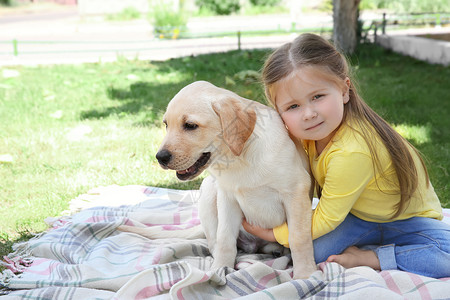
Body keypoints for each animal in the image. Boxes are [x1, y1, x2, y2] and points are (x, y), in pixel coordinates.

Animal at [119, 81, 316, 278]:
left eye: (190, 125)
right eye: (166, 124)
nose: (160, 157)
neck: (238, 158)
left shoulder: (296, 192)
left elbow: (298, 237)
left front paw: (304, 273)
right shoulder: (227, 198)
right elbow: (225, 239)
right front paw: (219, 269)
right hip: (208, 190)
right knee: (214, 242)